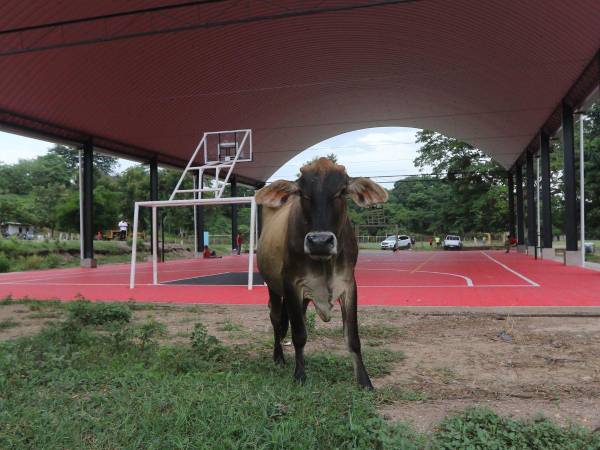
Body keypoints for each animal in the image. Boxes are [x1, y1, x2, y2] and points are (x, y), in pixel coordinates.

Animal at [254, 157, 386, 386]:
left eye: (341, 191)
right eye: (303, 193)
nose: (320, 242)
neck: (325, 262)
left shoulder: (349, 284)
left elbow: (353, 337)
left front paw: (364, 382)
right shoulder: (291, 284)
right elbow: (299, 334)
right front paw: (300, 376)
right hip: (273, 287)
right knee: (276, 319)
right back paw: (278, 357)